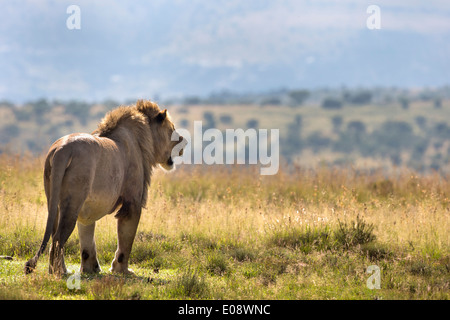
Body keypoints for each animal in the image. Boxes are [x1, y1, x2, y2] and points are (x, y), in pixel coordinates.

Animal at [23, 100, 185, 276]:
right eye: (173, 129)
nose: (184, 141)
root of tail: (61, 150)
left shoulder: (87, 208)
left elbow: (87, 239)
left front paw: (90, 268)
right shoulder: (132, 203)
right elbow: (126, 241)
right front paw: (122, 270)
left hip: (54, 199)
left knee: (53, 235)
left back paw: (60, 270)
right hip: (73, 201)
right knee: (59, 237)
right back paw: (58, 272)